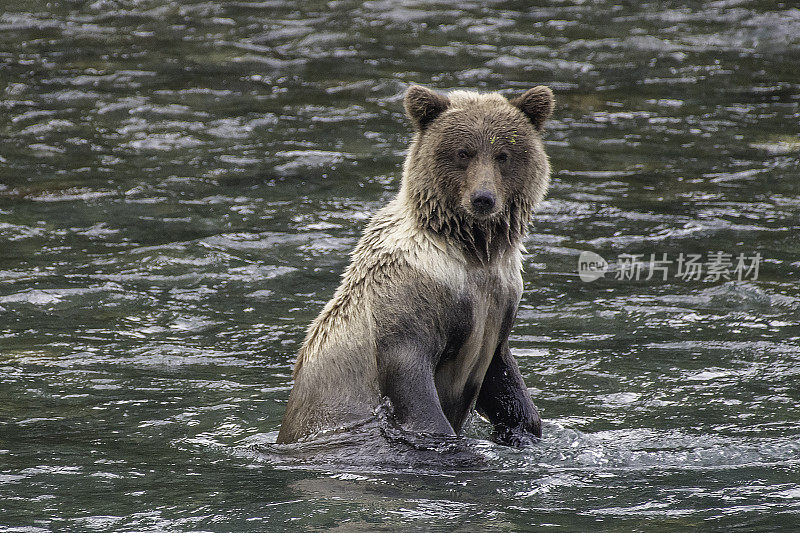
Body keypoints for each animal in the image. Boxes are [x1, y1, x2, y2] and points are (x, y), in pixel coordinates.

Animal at [278, 84, 552, 444]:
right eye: (463, 153)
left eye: (503, 154)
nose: (483, 198)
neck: (474, 253)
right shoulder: (410, 300)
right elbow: (413, 388)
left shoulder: (500, 303)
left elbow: (503, 379)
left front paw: (521, 427)